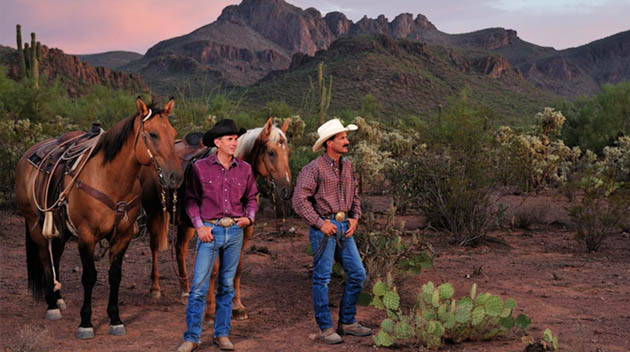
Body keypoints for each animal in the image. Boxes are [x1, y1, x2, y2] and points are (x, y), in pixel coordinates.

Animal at [14, 98, 184, 338]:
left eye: (173, 132)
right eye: (153, 134)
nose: (175, 176)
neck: (110, 180)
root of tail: (28, 153)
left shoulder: (122, 237)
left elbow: (115, 276)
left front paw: (115, 319)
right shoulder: (87, 236)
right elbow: (89, 277)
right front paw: (85, 323)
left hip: (61, 229)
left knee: (55, 254)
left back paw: (59, 298)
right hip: (34, 223)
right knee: (46, 258)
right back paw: (52, 305)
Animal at [139, 117, 292, 320]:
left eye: (287, 152)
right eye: (271, 152)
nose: (287, 190)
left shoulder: (244, 231)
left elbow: (236, 269)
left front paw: (237, 306)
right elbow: (214, 269)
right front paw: (211, 311)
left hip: (187, 223)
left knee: (179, 249)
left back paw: (185, 291)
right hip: (154, 212)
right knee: (154, 247)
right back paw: (155, 289)